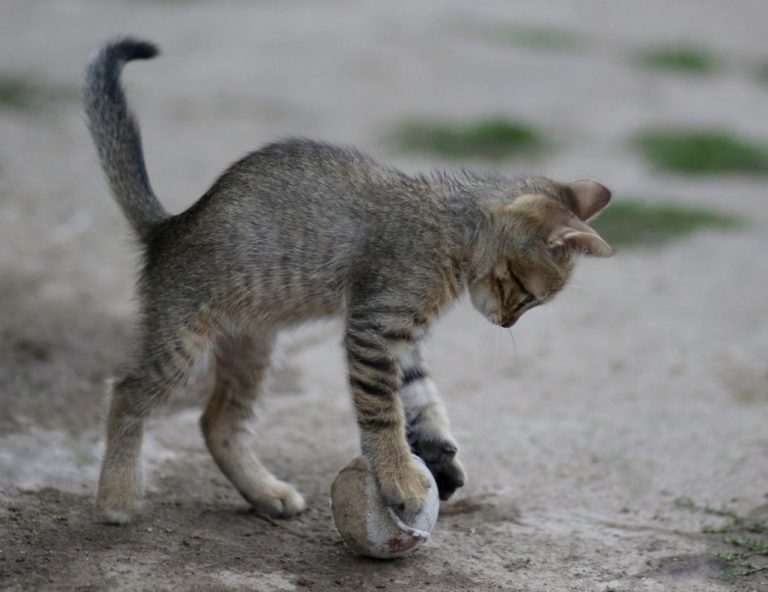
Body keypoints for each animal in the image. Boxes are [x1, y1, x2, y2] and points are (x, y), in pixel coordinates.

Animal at [82, 39, 612, 524]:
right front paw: (400, 478)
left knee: (219, 423)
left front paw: (438, 455)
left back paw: (265, 492)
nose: (506, 324)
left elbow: (421, 397)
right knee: (126, 391)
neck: (452, 228)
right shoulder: (375, 328)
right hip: (184, 338)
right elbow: (384, 413)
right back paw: (117, 497)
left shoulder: (403, 337)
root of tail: (169, 226)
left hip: (253, 344)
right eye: (525, 293)